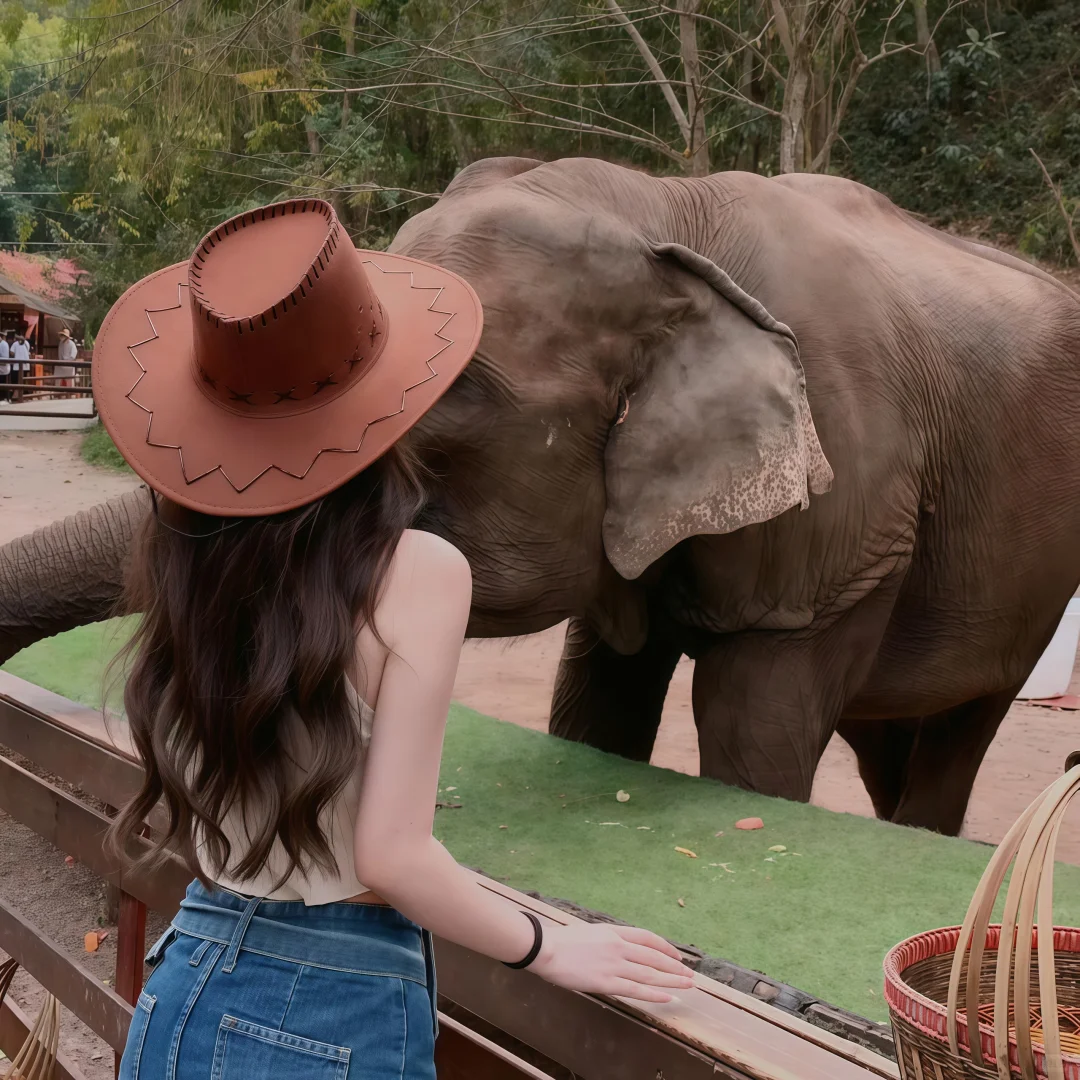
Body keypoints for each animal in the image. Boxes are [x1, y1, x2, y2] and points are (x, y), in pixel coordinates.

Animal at [2, 157, 1080, 833]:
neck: (670, 216)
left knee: (958, 727)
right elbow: (595, 704)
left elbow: (753, 732)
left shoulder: (840, 521)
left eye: (446, 411)